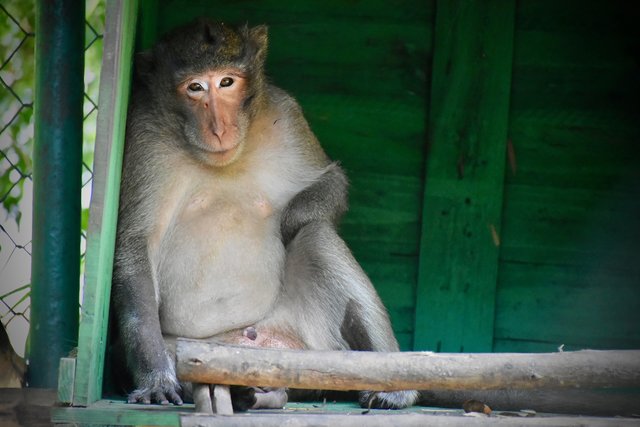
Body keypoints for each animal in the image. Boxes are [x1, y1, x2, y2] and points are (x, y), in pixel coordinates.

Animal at [111, 17, 420, 412]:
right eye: (195, 87)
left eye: (227, 82)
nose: (219, 128)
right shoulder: (143, 136)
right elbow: (135, 244)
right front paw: (156, 378)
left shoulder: (285, 113)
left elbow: (329, 179)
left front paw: (289, 219)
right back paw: (250, 393)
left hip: (310, 340)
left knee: (316, 236)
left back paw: (392, 387)